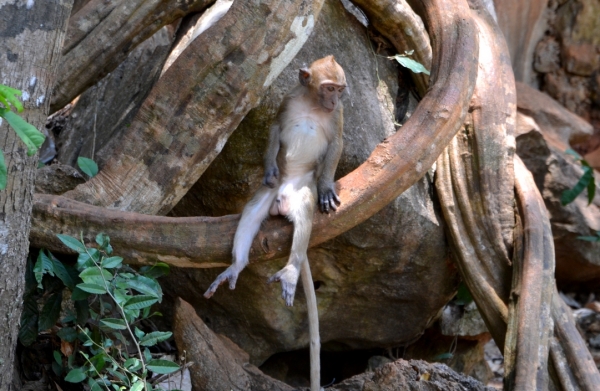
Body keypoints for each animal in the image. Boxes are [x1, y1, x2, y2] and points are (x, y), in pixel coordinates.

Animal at [204, 55, 346, 391]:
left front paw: (326, 187)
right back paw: (237, 264)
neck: (312, 104)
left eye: (341, 90)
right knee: (254, 209)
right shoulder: (289, 99)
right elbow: (275, 127)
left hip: (300, 190)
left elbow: (336, 143)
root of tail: (282, 198)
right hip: (272, 192)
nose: (334, 100)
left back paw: (291, 270)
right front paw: (268, 166)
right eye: (329, 88)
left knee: (304, 212)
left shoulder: (338, 117)